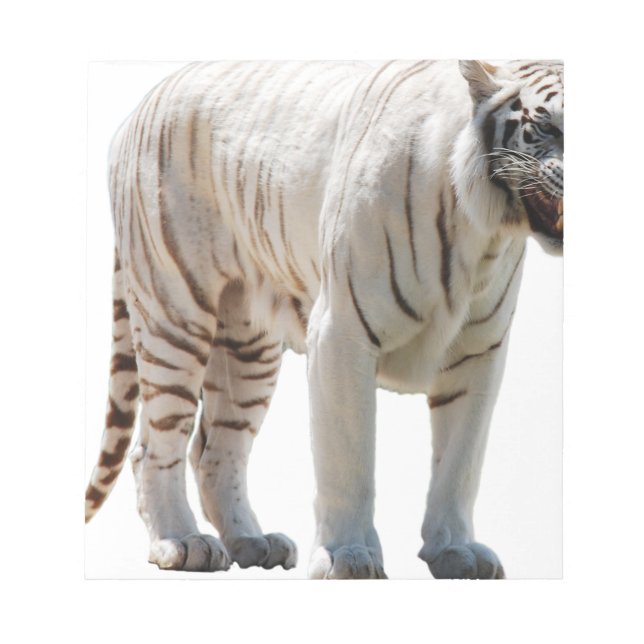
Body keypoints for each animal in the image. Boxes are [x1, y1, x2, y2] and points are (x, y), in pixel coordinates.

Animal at [85, 60, 563, 579]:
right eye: (547, 126)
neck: (485, 230)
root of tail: (145, 103)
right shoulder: (342, 332)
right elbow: (348, 457)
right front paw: (347, 556)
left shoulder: (480, 351)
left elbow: (461, 462)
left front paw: (456, 550)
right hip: (174, 310)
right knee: (153, 447)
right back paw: (182, 542)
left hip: (247, 347)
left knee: (215, 451)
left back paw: (253, 542)